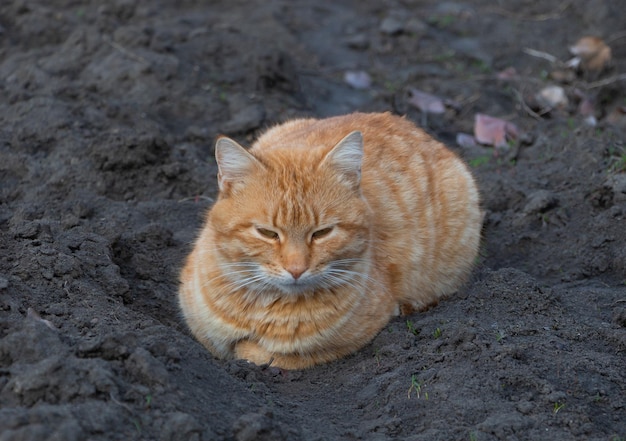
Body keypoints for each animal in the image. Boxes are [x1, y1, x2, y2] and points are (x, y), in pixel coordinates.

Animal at [178, 112, 480, 368]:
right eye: (268, 233)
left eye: (321, 233)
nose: (296, 269)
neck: (261, 308)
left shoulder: (341, 342)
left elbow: (260, 354)